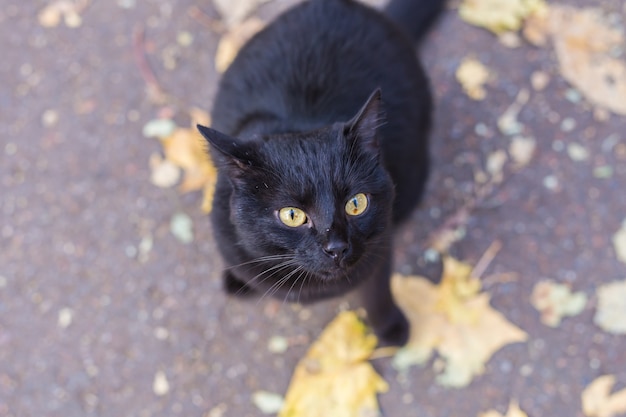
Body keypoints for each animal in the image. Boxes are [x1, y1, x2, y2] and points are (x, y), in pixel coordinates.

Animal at [197, 0, 442, 344]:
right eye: (292, 215)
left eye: (356, 204)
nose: (336, 247)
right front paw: (238, 280)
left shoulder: (380, 247)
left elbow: (377, 292)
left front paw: (389, 326)